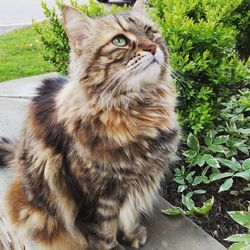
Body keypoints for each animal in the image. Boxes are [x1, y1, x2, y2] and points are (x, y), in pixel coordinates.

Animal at [0, 0, 180, 249]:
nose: (152, 48)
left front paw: (133, 235)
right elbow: (104, 234)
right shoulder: (95, 198)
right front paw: (116, 245)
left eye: (151, 32)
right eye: (120, 40)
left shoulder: (137, 184)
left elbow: (130, 215)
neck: (138, 112)